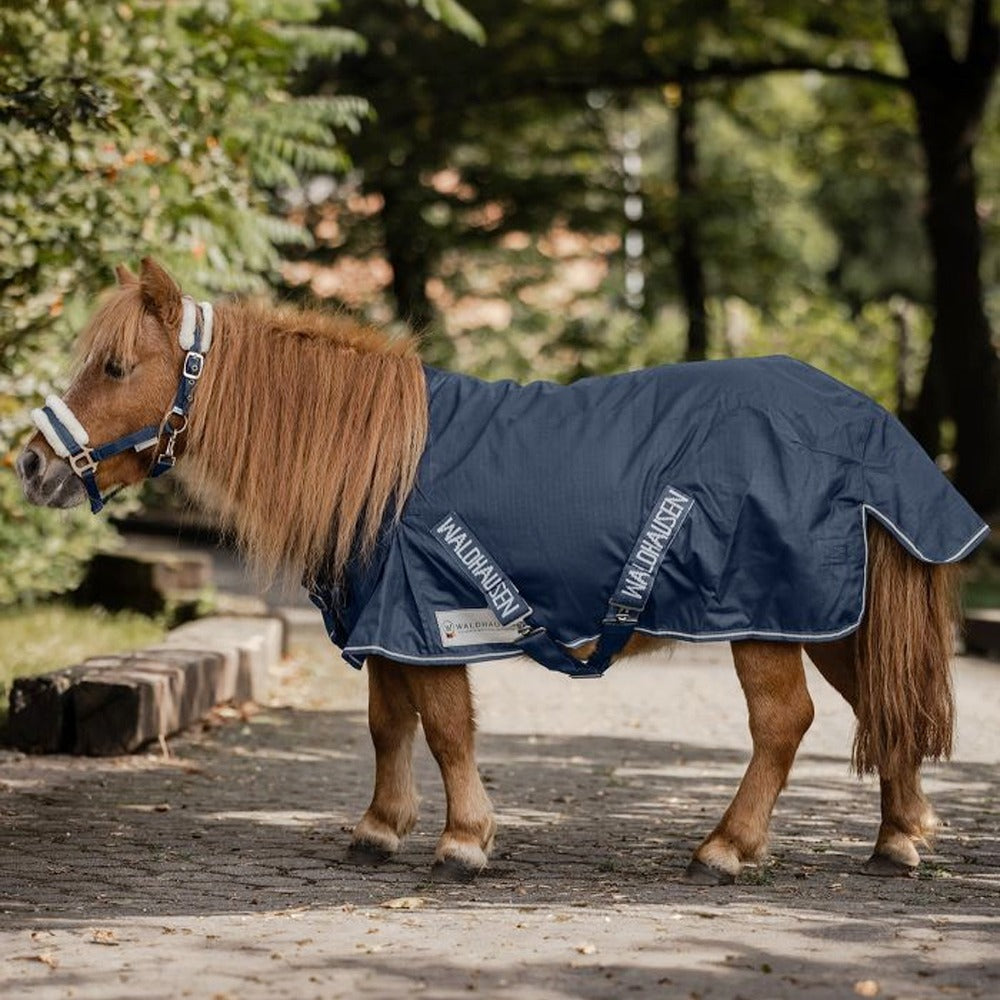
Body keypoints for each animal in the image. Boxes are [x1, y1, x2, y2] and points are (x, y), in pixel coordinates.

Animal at [16, 258, 986, 885]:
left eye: (116, 366)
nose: (31, 463)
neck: (381, 463)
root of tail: (867, 424)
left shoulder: (434, 621)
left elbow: (447, 728)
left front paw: (464, 840)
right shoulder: (390, 625)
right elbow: (388, 725)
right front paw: (380, 829)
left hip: (762, 618)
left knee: (786, 723)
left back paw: (728, 846)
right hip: (825, 618)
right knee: (883, 705)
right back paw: (899, 838)